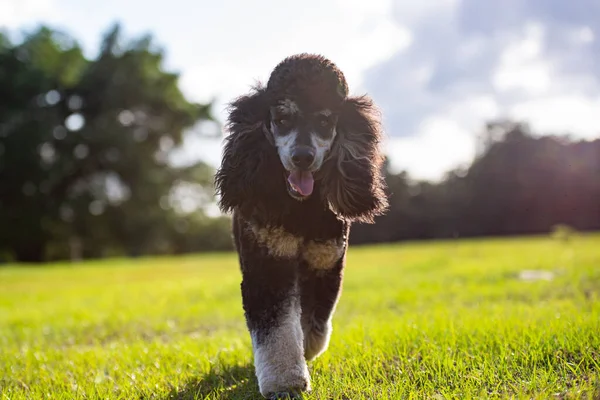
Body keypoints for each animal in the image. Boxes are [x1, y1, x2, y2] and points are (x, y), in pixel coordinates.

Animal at [213, 54, 386, 400]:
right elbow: (276, 327)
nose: (302, 157)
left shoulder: (324, 263)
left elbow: (315, 319)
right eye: (281, 118)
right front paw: (285, 382)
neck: (301, 208)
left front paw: (306, 351)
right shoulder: (268, 263)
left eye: (324, 122)